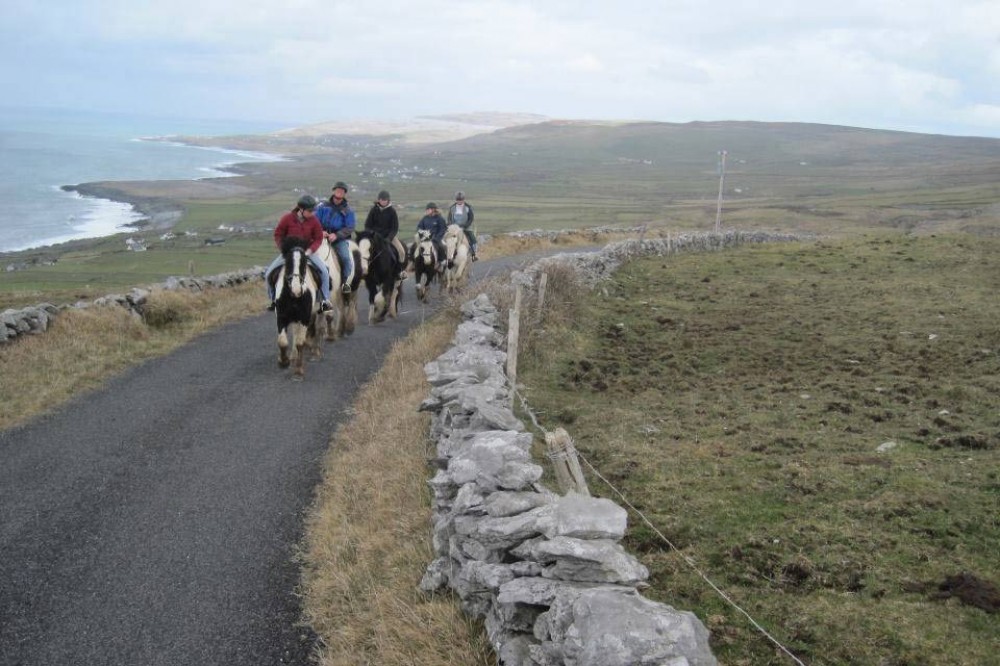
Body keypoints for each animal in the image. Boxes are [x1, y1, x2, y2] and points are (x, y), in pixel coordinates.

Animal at [270, 236, 320, 376]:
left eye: (304, 262)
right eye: (288, 262)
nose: (296, 290)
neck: (293, 296)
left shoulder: (304, 317)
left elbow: (300, 343)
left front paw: (298, 370)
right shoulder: (281, 316)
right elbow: (282, 341)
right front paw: (283, 361)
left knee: (313, 329)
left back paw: (314, 352)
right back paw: (292, 356)